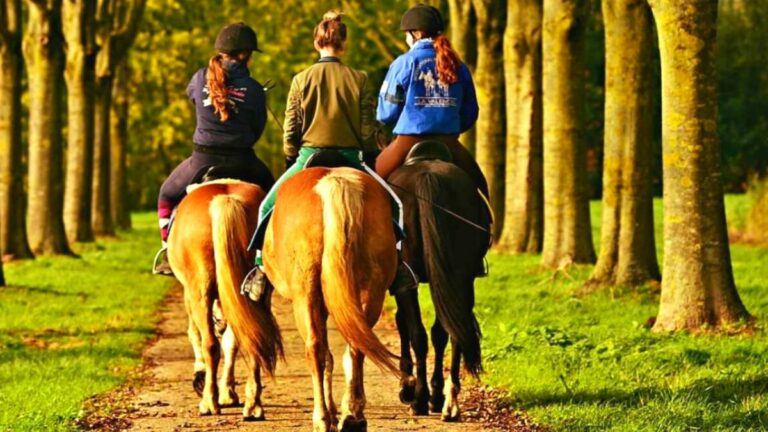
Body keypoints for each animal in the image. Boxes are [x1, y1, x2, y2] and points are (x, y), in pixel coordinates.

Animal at [167, 179, 283, 419]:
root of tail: (226, 199)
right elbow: (231, 341)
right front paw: (228, 393)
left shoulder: (189, 294)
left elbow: (195, 334)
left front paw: (201, 378)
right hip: (256, 293)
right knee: (252, 338)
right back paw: (253, 405)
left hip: (199, 291)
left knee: (210, 343)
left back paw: (208, 403)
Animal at [262, 166, 400, 432]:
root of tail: (334, 180)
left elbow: (325, 355)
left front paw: (330, 411)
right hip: (371, 291)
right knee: (357, 346)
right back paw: (353, 414)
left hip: (304, 295)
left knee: (314, 349)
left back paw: (322, 417)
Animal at [385, 145, 491, 421]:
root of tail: (428, 177)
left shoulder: (403, 285)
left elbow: (405, 325)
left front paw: (408, 387)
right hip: (461, 278)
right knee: (453, 331)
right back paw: (448, 401)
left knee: (419, 335)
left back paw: (420, 399)